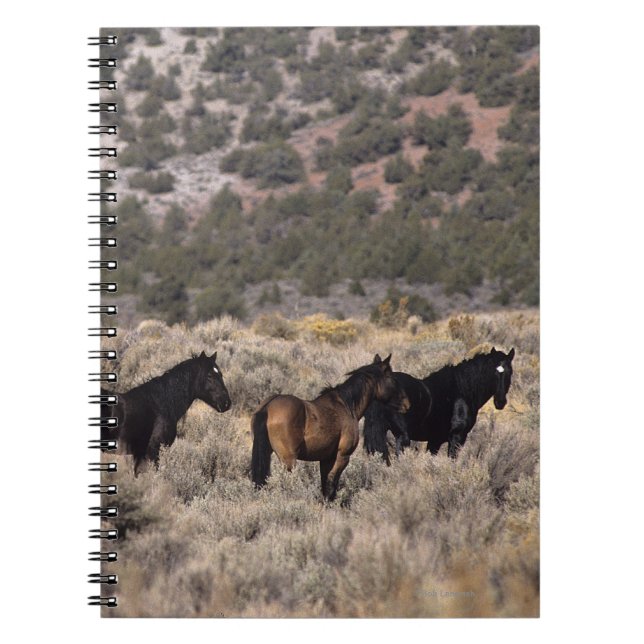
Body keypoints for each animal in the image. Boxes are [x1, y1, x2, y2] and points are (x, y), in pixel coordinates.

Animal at [250, 354, 410, 501]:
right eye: (392, 378)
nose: (407, 404)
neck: (346, 405)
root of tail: (268, 406)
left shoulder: (326, 458)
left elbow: (324, 483)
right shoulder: (342, 456)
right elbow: (332, 483)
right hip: (289, 460)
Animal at [363, 347, 515, 461]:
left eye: (510, 372)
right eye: (493, 372)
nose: (500, 402)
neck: (462, 389)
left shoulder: (434, 441)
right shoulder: (457, 438)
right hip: (402, 437)